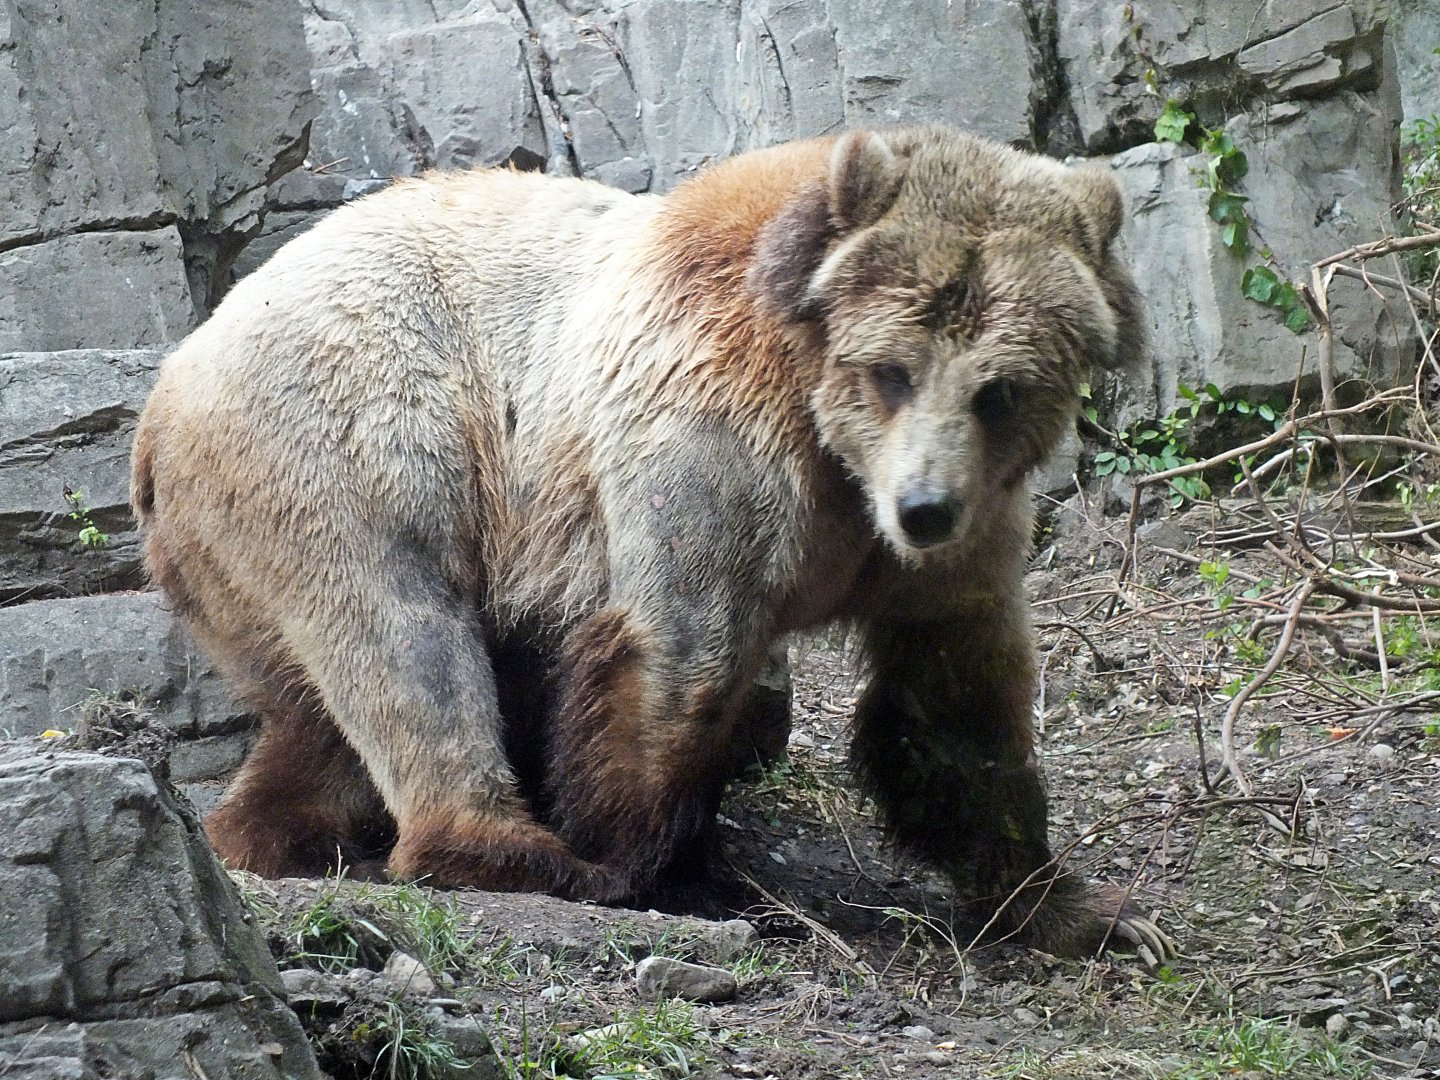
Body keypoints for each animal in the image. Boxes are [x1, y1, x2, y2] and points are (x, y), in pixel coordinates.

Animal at [130, 124, 1168, 960]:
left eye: (1000, 390)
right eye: (893, 371)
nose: (924, 508)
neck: (836, 456)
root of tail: (169, 385)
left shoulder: (960, 541)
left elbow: (956, 701)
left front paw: (1084, 910)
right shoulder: (713, 438)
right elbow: (680, 652)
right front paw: (633, 862)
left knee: (318, 711)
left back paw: (271, 830)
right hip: (358, 437)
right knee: (400, 637)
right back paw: (500, 847)